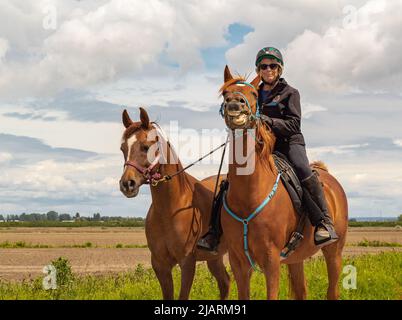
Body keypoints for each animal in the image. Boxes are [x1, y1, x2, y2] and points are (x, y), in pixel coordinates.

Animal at [118, 108, 229, 300]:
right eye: (123, 148)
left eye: (146, 147)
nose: (127, 184)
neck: (170, 209)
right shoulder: (160, 264)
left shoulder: (187, 263)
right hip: (214, 258)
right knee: (225, 283)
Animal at [218, 65, 348, 300]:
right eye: (225, 93)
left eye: (253, 94)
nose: (234, 106)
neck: (249, 196)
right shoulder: (238, 261)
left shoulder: (271, 261)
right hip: (296, 258)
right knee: (302, 291)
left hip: (334, 251)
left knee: (332, 290)